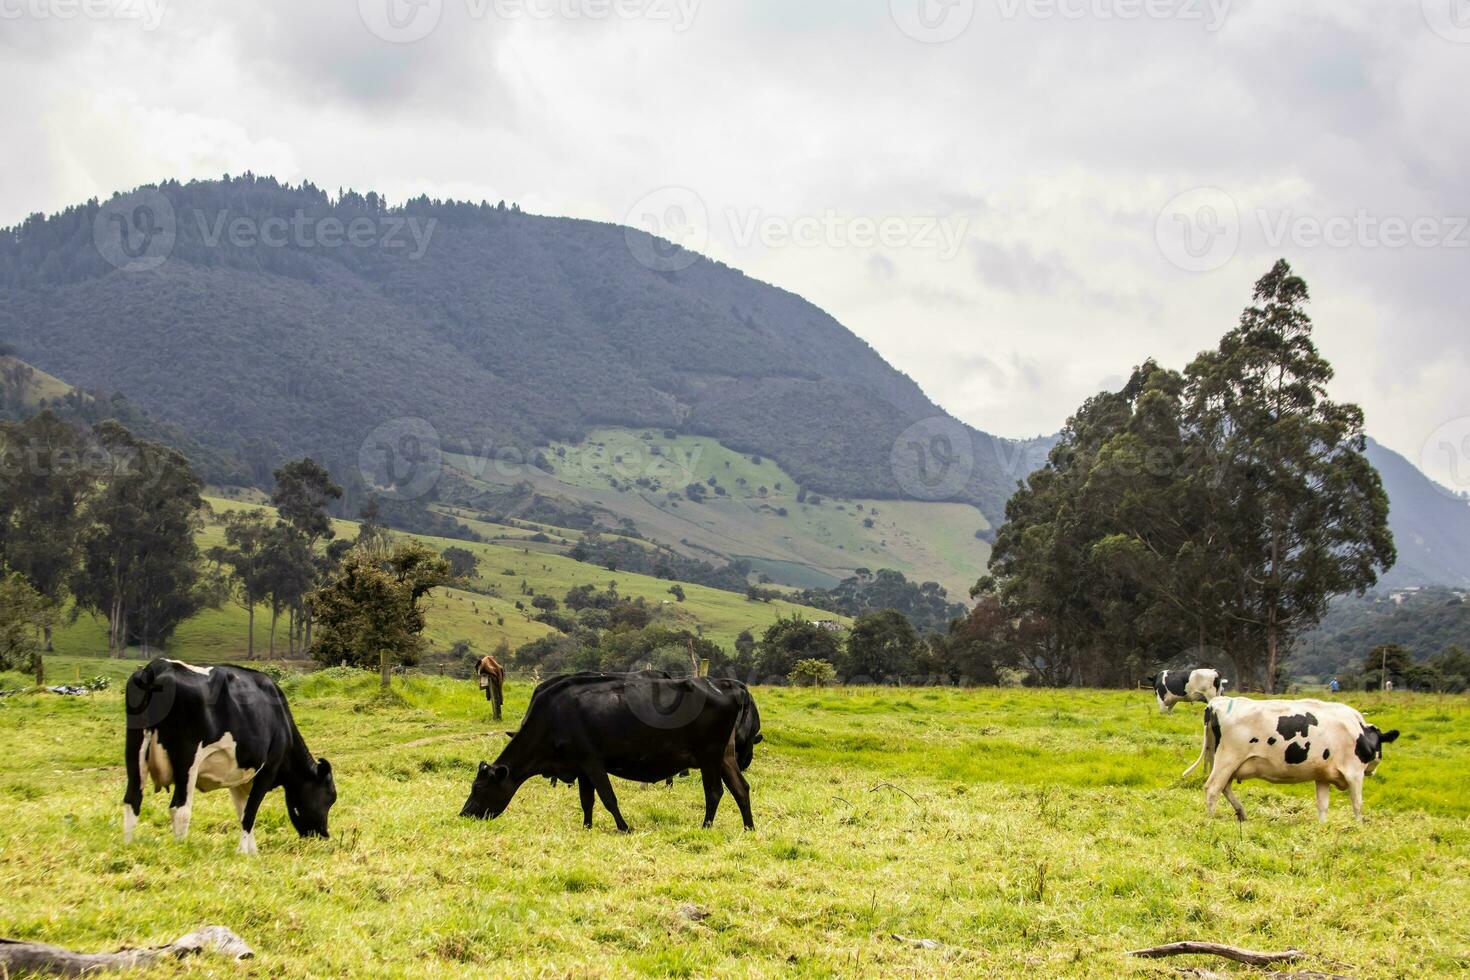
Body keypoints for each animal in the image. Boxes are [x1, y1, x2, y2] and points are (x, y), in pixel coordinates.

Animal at [122, 658, 336, 858]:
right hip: (187, 760)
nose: (324, 835)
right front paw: (243, 852)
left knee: (132, 799)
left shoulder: (238, 779)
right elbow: (250, 814)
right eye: (329, 798)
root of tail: (157, 667)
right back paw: (181, 849)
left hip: (135, 750)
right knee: (180, 808)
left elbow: (242, 813)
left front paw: (252, 852)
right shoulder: (267, 772)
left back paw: (129, 847)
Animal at [1181, 696, 1399, 828]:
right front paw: (1358, 826)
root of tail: (1218, 702)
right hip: (1228, 759)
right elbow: (1357, 803)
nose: (1373, 772)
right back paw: (1212, 819)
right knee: (1213, 788)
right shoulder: (1354, 772)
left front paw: (1322, 826)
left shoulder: (1322, 775)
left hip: (1225, 762)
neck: (1359, 732)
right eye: (1380, 747)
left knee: (1225, 787)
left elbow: (1323, 804)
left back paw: (1242, 813)